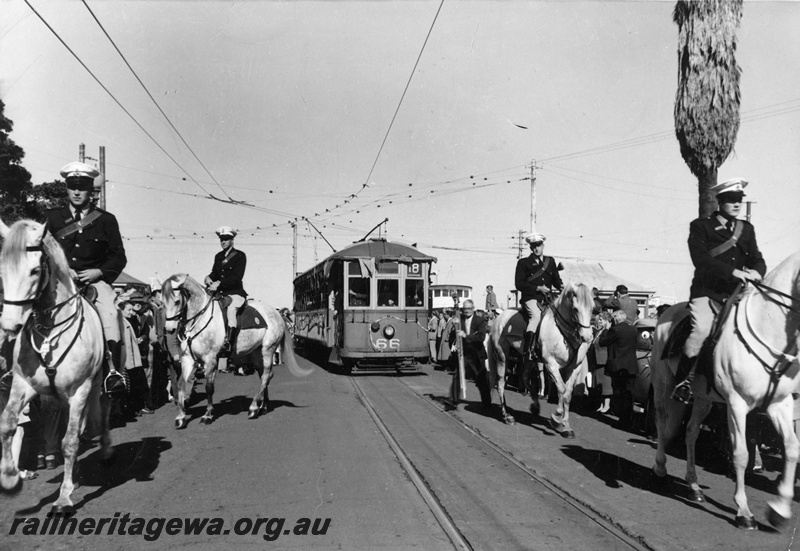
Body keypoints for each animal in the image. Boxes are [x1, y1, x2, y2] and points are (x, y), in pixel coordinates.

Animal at [0, 219, 112, 512]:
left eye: (35, 270)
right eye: (2, 271)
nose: (9, 326)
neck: (51, 331)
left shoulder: (81, 390)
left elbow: (70, 441)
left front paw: (63, 498)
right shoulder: (24, 385)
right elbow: (8, 424)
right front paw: (10, 478)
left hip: (97, 384)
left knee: (100, 413)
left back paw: (105, 449)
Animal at [162, 274, 312, 430]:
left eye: (177, 301)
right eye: (162, 302)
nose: (169, 329)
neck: (199, 318)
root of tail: (277, 314)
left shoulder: (210, 359)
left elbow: (209, 387)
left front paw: (207, 415)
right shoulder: (188, 359)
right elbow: (180, 384)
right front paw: (180, 417)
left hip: (268, 350)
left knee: (266, 375)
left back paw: (253, 408)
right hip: (256, 354)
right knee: (264, 375)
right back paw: (263, 406)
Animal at [484, 284, 596, 436]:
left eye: (593, 308)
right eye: (575, 308)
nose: (588, 337)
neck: (562, 332)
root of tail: (497, 319)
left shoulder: (574, 368)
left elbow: (567, 394)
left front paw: (566, 427)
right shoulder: (551, 364)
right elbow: (561, 389)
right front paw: (556, 418)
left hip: (527, 359)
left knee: (524, 377)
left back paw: (535, 405)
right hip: (502, 356)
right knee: (500, 383)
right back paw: (507, 416)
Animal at [648, 251, 800, 532]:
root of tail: (668, 313)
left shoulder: (780, 404)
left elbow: (792, 448)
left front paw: (779, 511)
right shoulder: (737, 404)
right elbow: (740, 454)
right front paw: (744, 512)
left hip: (703, 399)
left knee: (691, 432)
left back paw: (694, 486)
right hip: (661, 386)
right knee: (662, 424)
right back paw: (661, 470)